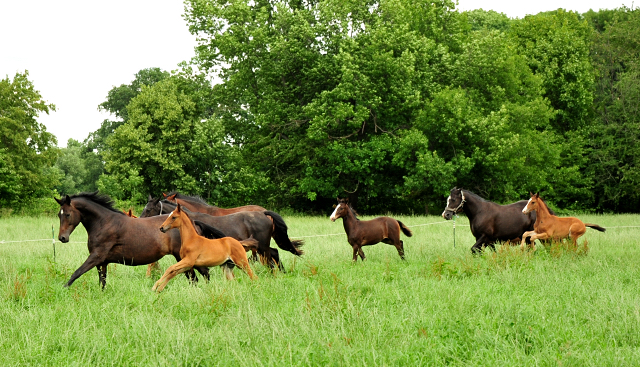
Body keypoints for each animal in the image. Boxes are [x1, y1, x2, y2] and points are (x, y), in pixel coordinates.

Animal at [55, 193, 210, 290]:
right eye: (59, 215)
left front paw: (62, 290)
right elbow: (102, 282)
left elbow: (77, 273)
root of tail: (193, 223)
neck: (104, 223)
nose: (62, 238)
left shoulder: (96, 257)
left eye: (67, 214)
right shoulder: (102, 262)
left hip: (184, 258)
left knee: (200, 276)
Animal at [139, 197, 302, 272]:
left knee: (270, 259)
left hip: (262, 247)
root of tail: (264, 213)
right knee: (274, 253)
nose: (138, 220)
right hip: (262, 246)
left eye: (148, 210)